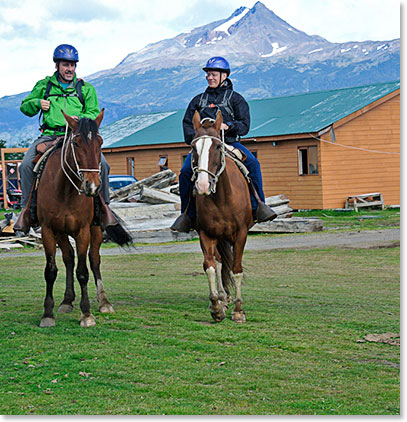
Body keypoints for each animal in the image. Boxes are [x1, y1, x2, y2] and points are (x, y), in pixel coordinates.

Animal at [37, 110, 131, 328]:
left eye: (100, 142)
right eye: (76, 143)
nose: (92, 186)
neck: (64, 190)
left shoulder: (83, 231)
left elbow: (83, 271)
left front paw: (86, 314)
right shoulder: (48, 230)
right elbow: (51, 270)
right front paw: (48, 314)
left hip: (95, 229)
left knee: (94, 260)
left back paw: (104, 302)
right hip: (61, 233)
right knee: (68, 258)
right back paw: (66, 301)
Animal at [190, 109, 253, 324]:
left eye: (218, 146)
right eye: (193, 147)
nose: (202, 185)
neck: (222, 198)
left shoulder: (241, 234)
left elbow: (237, 269)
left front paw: (239, 310)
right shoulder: (206, 233)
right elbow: (210, 266)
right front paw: (216, 307)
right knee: (218, 263)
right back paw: (223, 299)